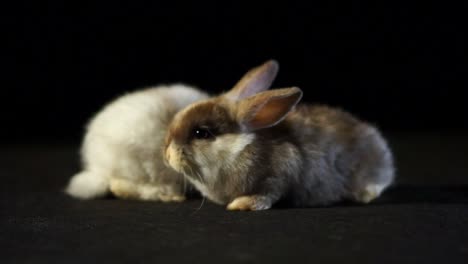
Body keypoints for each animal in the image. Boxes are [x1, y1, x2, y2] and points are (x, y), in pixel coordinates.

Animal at [163, 59, 394, 210]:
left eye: (201, 133)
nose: (166, 155)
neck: (239, 149)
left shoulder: (281, 173)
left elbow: (269, 193)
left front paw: (243, 204)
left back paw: (364, 194)